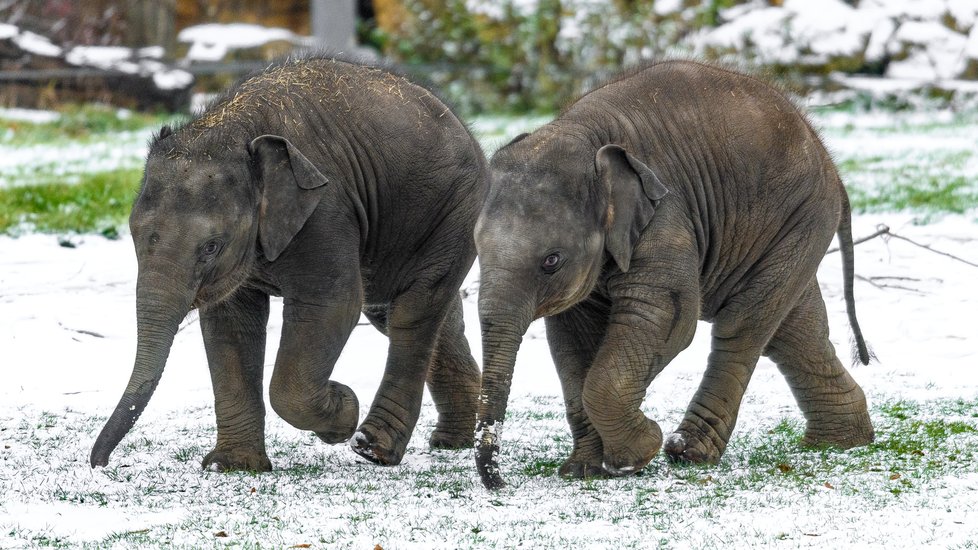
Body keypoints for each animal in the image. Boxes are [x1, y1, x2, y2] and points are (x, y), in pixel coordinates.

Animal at [91, 56, 488, 474]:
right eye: (134, 235)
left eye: (211, 247)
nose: (100, 464)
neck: (233, 126)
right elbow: (230, 324)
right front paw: (232, 466)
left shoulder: (326, 210)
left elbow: (332, 305)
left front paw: (342, 411)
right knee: (409, 312)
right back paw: (455, 439)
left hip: (455, 210)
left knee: (413, 313)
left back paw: (372, 447)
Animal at [468, 60, 872, 492]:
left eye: (551, 261)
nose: (499, 483)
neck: (583, 134)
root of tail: (825, 153)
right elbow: (571, 340)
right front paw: (585, 469)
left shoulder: (666, 215)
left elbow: (663, 316)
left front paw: (636, 455)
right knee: (794, 331)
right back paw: (841, 442)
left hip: (802, 214)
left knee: (743, 325)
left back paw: (688, 452)